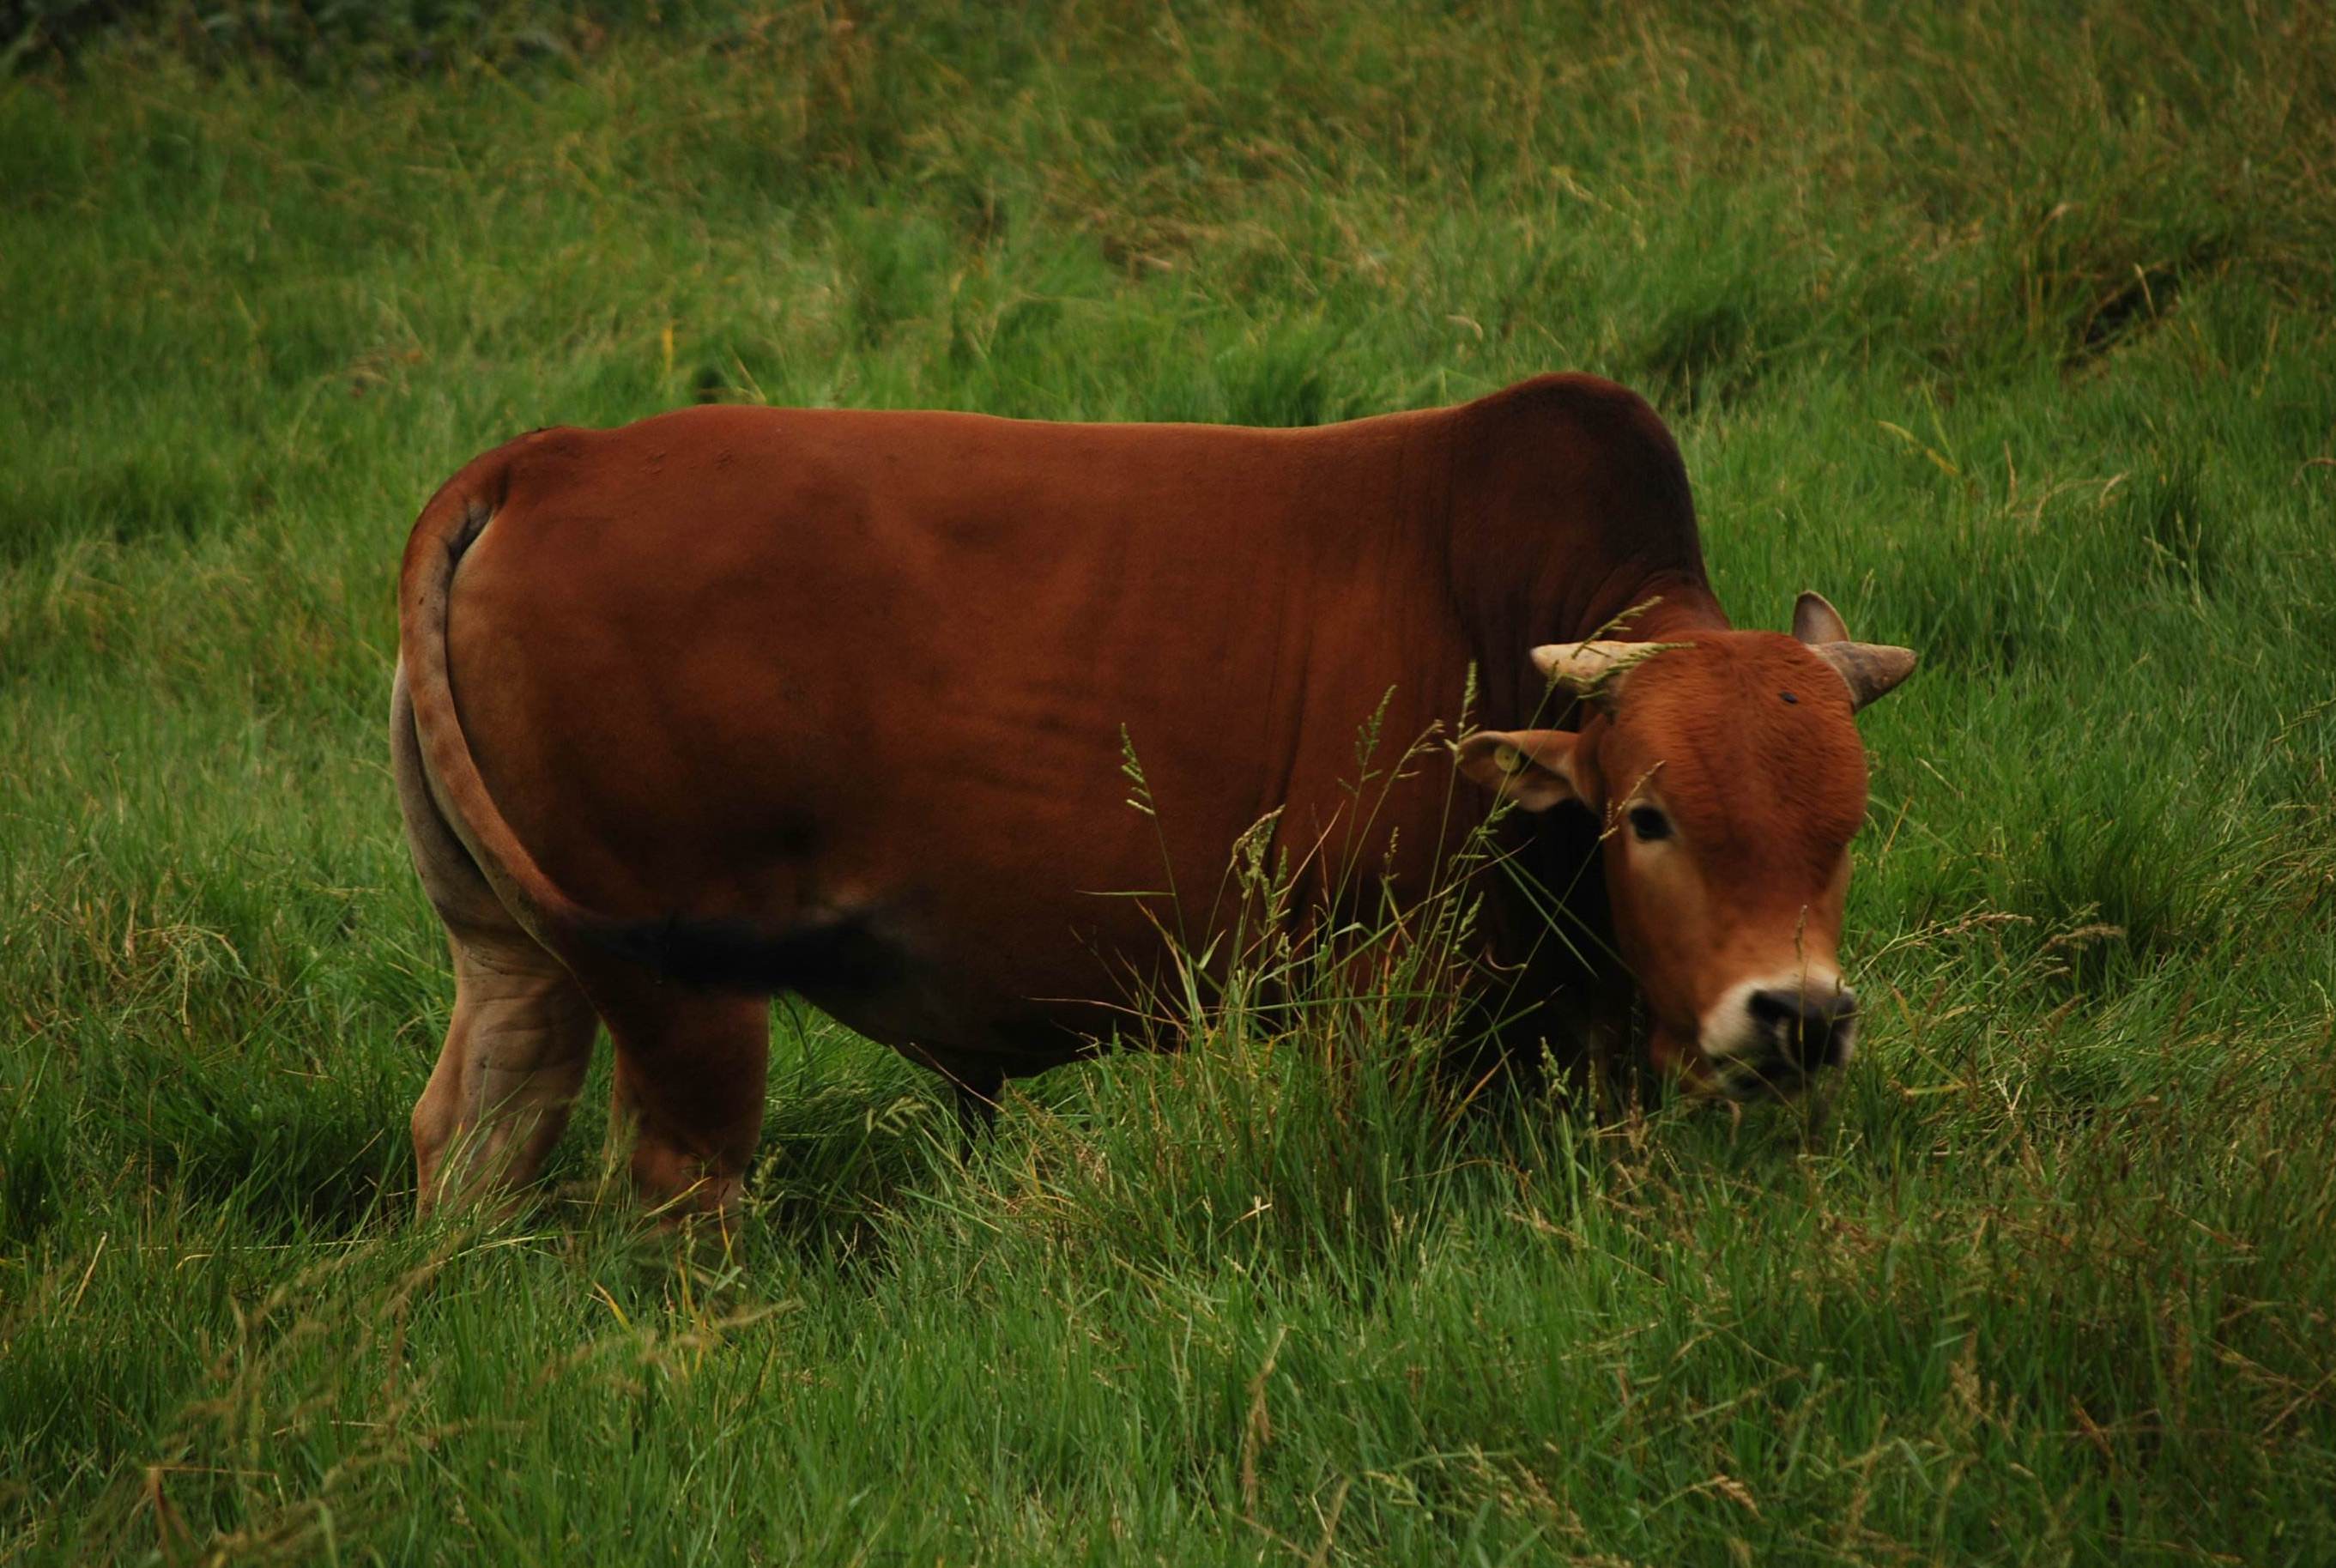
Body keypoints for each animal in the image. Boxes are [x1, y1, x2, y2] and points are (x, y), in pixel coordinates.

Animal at [387, 376, 1915, 1214]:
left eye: (1842, 830)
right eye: (1648, 815)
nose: (1795, 1015)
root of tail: (551, 454)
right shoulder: (1379, 996)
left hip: (518, 952)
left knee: (478, 1127)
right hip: (684, 992)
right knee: (676, 1179)